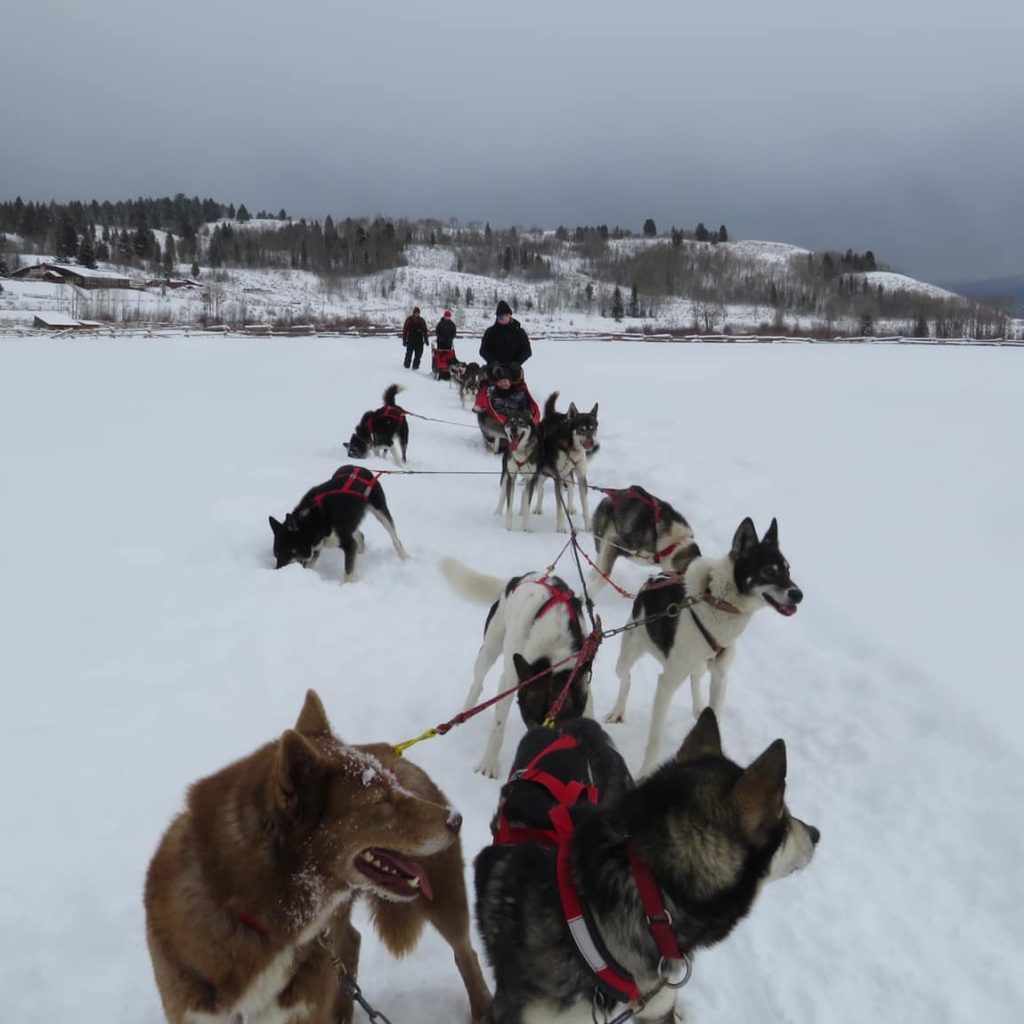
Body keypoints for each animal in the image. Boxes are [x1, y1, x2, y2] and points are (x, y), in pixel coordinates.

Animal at [144, 688, 491, 1024]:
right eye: (380, 801)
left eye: (392, 786)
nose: (456, 819)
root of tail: (391, 749)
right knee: (351, 940)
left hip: (444, 898)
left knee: (465, 952)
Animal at [270, 466, 409, 581]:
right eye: (276, 554)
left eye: (289, 552)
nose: (277, 571)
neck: (315, 518)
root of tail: (360, 468)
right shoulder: (316, 548)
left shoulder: (348, 543)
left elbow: (348, 572)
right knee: (360, 535)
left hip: (380, 511)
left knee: (395, 538)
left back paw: (406, 558)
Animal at [438, 561, 593, 774]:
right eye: (532, 724)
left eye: (562, 728)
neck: (554, 645)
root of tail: (516, 579)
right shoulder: (510, 679)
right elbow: (498, 727)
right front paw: (488, 765)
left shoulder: (583, 681)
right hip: (490, 648)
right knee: (477, 683)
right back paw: (466, 712)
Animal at [532, 391, 598, 532]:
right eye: (581, 428)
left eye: (593, 428)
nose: (591, 441)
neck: (572, 448)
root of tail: (551, 415)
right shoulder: (558, 477)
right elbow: (560, 508)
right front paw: (561, 527)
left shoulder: (581, 476)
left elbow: (585, 505)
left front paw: (588, 527)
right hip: (543, 472)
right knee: (540, 489)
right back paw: (538, 508)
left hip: (568, 474)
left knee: (571, 489)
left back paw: (571, 507)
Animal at [606, 520, 798, 774]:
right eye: (768, 571)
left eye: (787, 570)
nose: (798, 594)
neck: (717, 604)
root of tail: (653, 578)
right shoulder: (666, 684)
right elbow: (655, 738)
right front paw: (646, 772)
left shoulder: (720, 676)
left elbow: (714, 710)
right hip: (627, 654)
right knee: (626, 679)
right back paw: (618, 710)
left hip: (698, 664)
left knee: (695, 678)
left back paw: (698, 707)